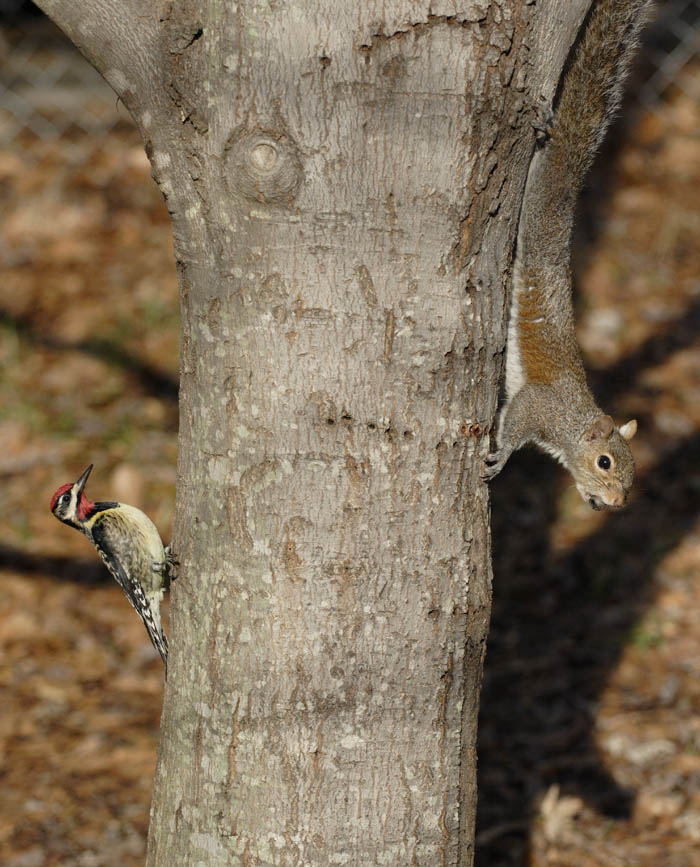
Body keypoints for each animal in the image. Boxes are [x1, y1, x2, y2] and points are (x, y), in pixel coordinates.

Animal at [482, 0, 653, 510]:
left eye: (633, 475)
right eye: (605, 463)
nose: (616, 503)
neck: (576, 421)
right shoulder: (540, 407)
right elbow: (515, 420)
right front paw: (502, 457)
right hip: (541, 194)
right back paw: (547, 129)